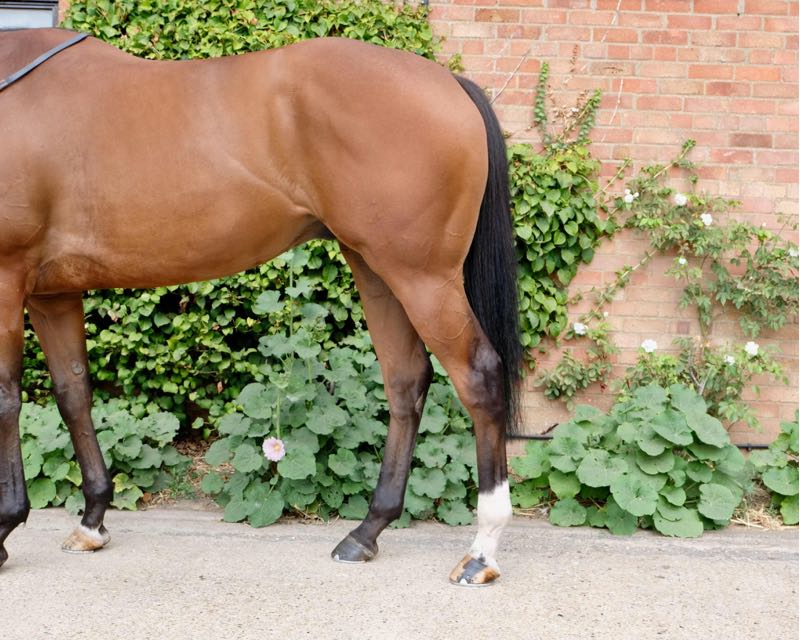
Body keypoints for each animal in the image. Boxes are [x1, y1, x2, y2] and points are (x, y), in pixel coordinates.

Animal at [0, 28, 522, 586]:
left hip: (421, 277)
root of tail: (448, 81)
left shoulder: (7, 278)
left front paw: (5, 530)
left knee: (479, 377)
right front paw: (92, 521)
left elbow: (7, 399)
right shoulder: (51, 293)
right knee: (406, 381)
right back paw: (367, 532)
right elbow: (72, 392)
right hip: (376, 268)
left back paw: (482, 553)